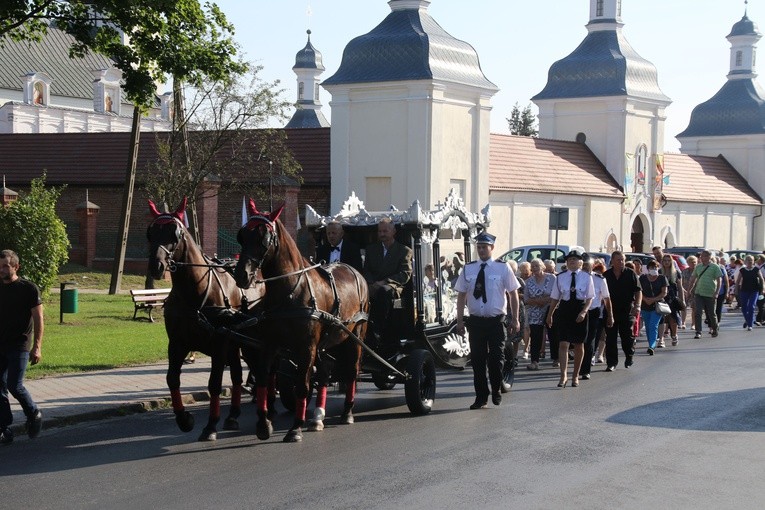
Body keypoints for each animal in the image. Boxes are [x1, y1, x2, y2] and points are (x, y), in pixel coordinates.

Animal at [148, 197, 264, 440]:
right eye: (151, 232)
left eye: (174, 233)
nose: (157, 265)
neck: (193, 291)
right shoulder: (177, 343)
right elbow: (172, 379)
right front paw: (184, 419)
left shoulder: (218, 344)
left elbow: (214, 384)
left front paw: (210, 426)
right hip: (235, 343)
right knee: (238, 375)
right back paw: (233, 415)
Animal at [233, 200, 368, 442]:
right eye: (242, 235)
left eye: (264, 238)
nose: (242, 275)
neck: (291, 291)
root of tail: (355, 271)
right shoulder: (270, 345)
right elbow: (264, 379)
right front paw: (264, 424)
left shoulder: (306, 347)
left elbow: (302, 386)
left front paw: (295, 428)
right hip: (327, 343)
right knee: (325, 371)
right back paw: (318, 416)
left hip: (354, 337)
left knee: (351, 371)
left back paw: (347, 412)